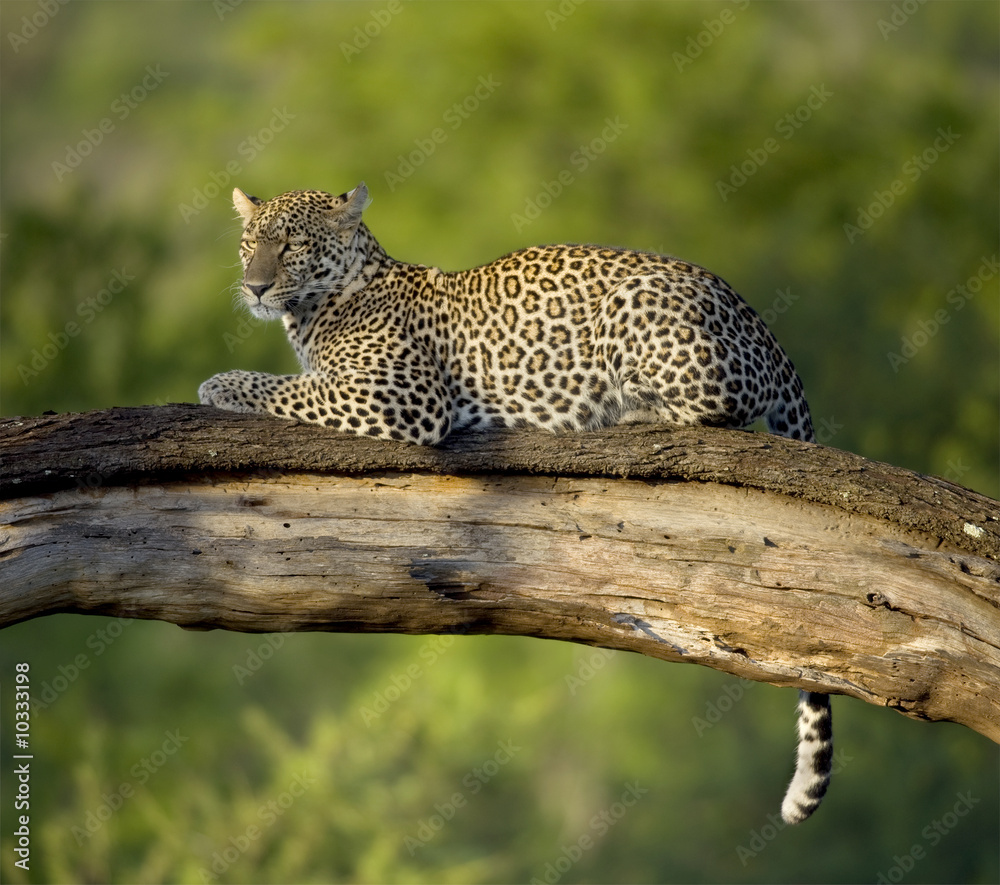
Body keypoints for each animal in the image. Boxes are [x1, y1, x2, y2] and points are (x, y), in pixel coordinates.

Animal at [199, 181, 832, 820]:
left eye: (292, 245)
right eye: (251, 243)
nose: (255, 286)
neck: (312, 312)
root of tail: (765, 329)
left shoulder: (401, 396)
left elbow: (287, 387)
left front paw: (218, 384)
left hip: (639, 311)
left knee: (713, 410)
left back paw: (620, 412)